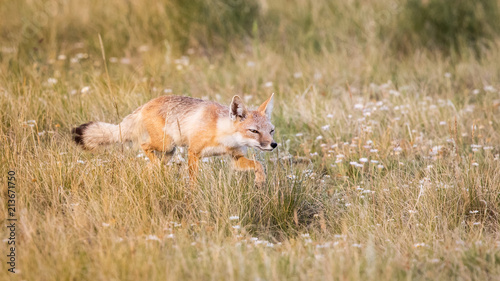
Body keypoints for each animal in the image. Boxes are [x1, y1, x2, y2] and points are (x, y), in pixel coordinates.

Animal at [72, 92, 278, 184]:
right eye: (254, 131)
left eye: (271, 131)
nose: (274, 145)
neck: (221, 133)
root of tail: (146, 104)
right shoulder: (193, 152)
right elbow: (193, 179)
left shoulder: (235, 158)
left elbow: (259, 165)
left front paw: (260, 181)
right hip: (166, 146)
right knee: (144, 146)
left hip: (168, 152)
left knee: (148, 168)